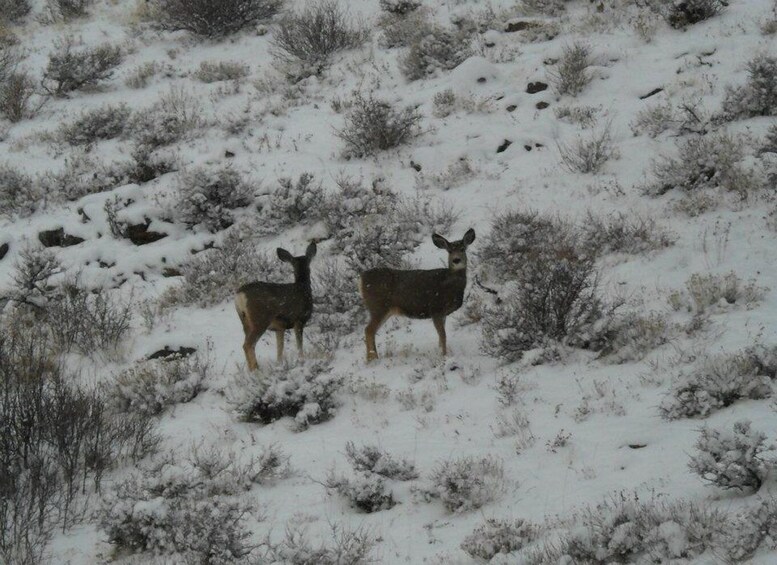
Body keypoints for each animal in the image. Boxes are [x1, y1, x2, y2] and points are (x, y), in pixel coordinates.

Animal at [233, 241, 316, 370]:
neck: (303, 288)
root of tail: (240, 295)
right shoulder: (298, 320)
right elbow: (299, 345)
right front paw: (301, 360)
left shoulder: (279, 327)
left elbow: (280, 349)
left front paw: (279, 365)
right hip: (260, 320)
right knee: (248, 345)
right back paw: (256, 371)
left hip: (245, 322)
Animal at [358, 228, 472, 362]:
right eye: (449, 251)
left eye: (463, 249)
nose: (456, 260)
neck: (449, 285)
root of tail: (361, 278)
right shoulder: (435, 309)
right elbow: (443, 336)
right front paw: (444, 356)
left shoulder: (443, 314)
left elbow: (441, 337)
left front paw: (440, 352)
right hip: (378, 306)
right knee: (369, 330)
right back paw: (373, 359)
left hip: (385, 309)